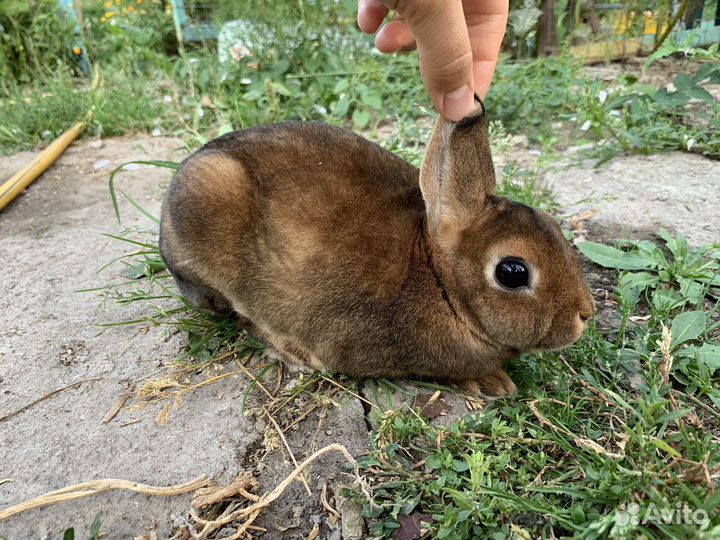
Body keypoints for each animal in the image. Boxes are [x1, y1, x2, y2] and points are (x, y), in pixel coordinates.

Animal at [160, 100, 592, 396]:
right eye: (512, 272)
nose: (584, 315)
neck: (437, 277)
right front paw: (493, 383)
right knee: (245, 314)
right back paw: (297, 354)